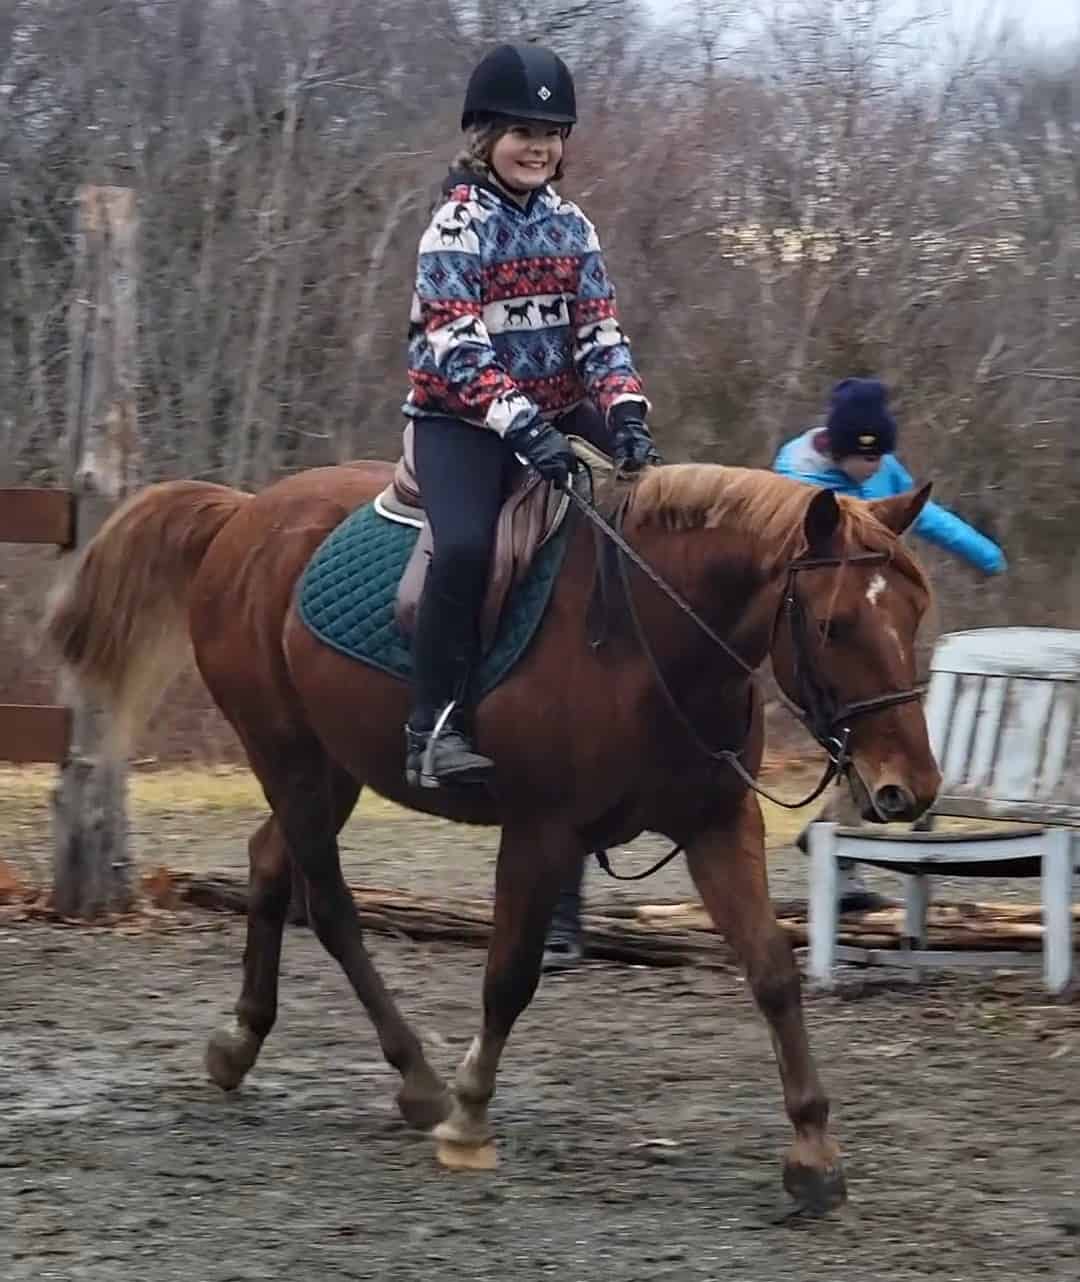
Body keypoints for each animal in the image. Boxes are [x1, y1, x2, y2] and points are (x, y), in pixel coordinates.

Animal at [46, 460, 940, 1208]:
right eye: (833, 626)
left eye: (915, 612)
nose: (910, 787)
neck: (648, 638)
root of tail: (243, 515)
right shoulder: (542, 832)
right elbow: (509, 977)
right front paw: (470, 1116)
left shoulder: (718, 826)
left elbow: (773, 973)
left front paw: (814, 1151)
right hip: (288, 755)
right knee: (329, 904)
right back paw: (418, 1080)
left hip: (334, 766)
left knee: (270, 864)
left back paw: (241, 1042)